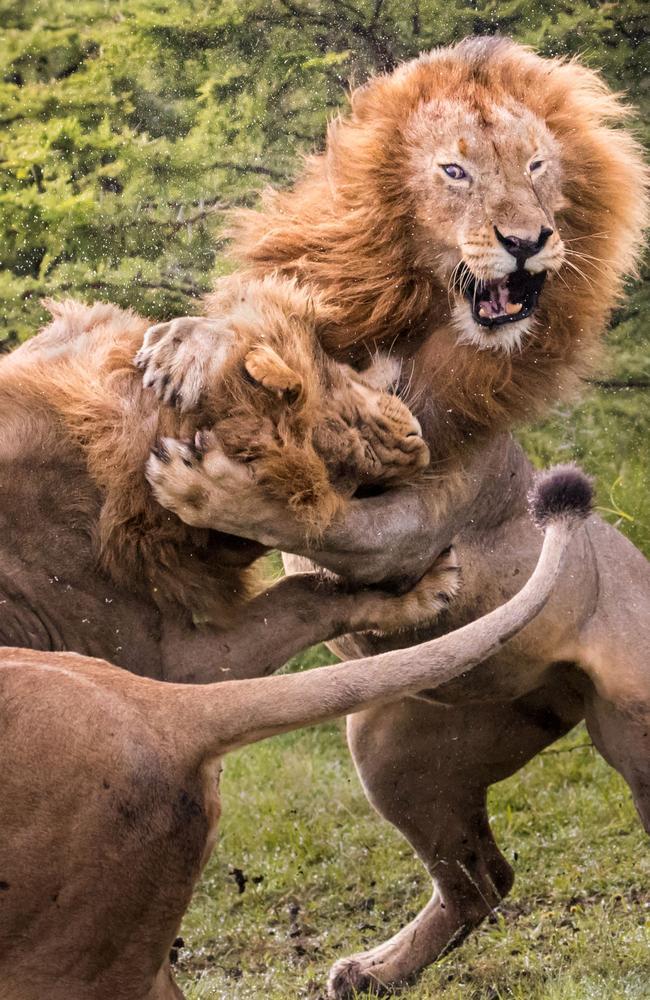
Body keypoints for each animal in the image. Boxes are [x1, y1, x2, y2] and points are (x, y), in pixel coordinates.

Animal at [133, 35, 648, 996]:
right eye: (454, 170)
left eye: (537, 166)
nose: (527, 242)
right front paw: (190, 345)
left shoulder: (419, 519)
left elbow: (325, 514)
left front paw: (206, 484)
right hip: (391, 742)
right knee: (483, 877)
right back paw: (374, 970)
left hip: (633, 728)